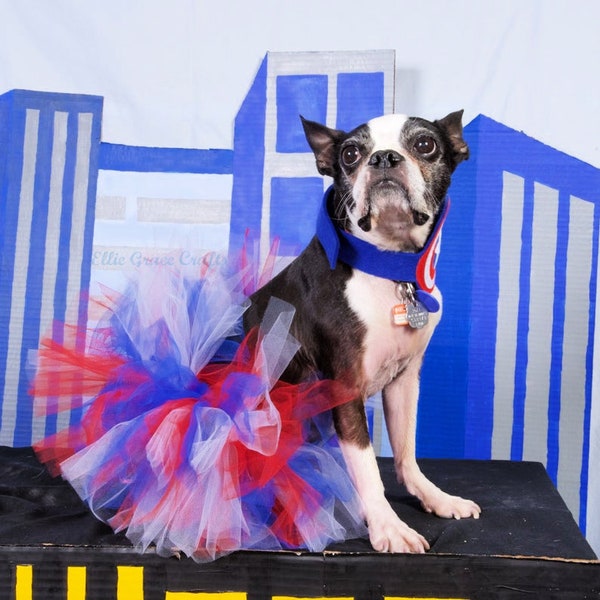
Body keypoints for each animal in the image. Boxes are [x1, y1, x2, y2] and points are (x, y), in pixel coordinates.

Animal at [241, 109, 480, 552]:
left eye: (425, 144)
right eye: (350, 154)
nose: (383, 158)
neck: (389, 269)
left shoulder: (405, 380)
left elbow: (405, 448)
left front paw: (434, 496)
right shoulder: (345, 387)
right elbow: (367, 468)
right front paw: (388, 525)